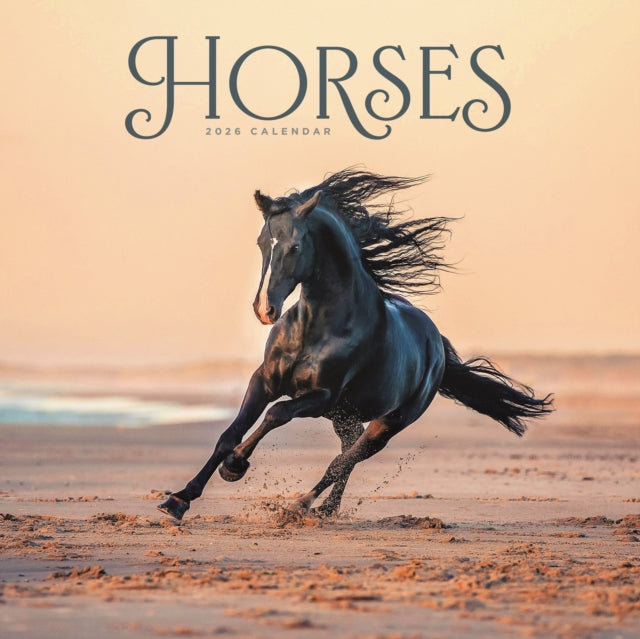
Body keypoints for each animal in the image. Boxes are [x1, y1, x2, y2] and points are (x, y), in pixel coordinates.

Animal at [159, 169, 553, 521]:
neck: (317, 327)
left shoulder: (321, 396)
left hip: (388, 422)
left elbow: (276, 414)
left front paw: (236, 465)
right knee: (347, 452)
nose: (265, 309)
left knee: (346, 458)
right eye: (260, 242)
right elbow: (230, 433)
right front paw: (179, 499)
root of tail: (436, 344)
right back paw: (326, 510)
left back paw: (300, 506)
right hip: (345, 416)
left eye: (295, 246)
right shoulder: (265, 380)